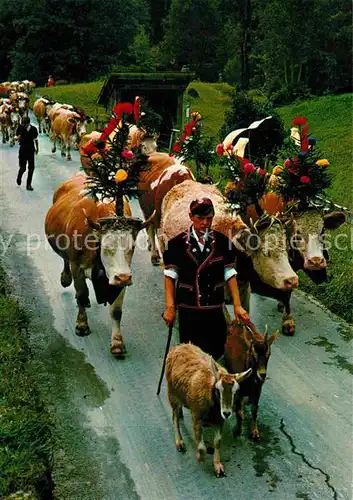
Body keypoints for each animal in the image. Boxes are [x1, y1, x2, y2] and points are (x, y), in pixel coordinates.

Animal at [44, 173, 153, 356]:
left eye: (132, 246)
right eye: (107, 246)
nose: (124, 277)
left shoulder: (121, 274)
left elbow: (116, 311)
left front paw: (117, 342)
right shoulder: (77, 266)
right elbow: (81, 293)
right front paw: (82, 325)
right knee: (65, 261)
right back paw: (65, 279)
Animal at [165, 344, 250, 476]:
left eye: (236, 392)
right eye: (218, 390)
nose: (227, 413)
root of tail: (179, 346)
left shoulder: (219, 421)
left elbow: (217, 442)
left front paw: (217, 466)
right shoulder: (196, 417)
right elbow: (201, 447)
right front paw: (200, 457)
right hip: (172, 394)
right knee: (175, 418)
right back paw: (179, 442)